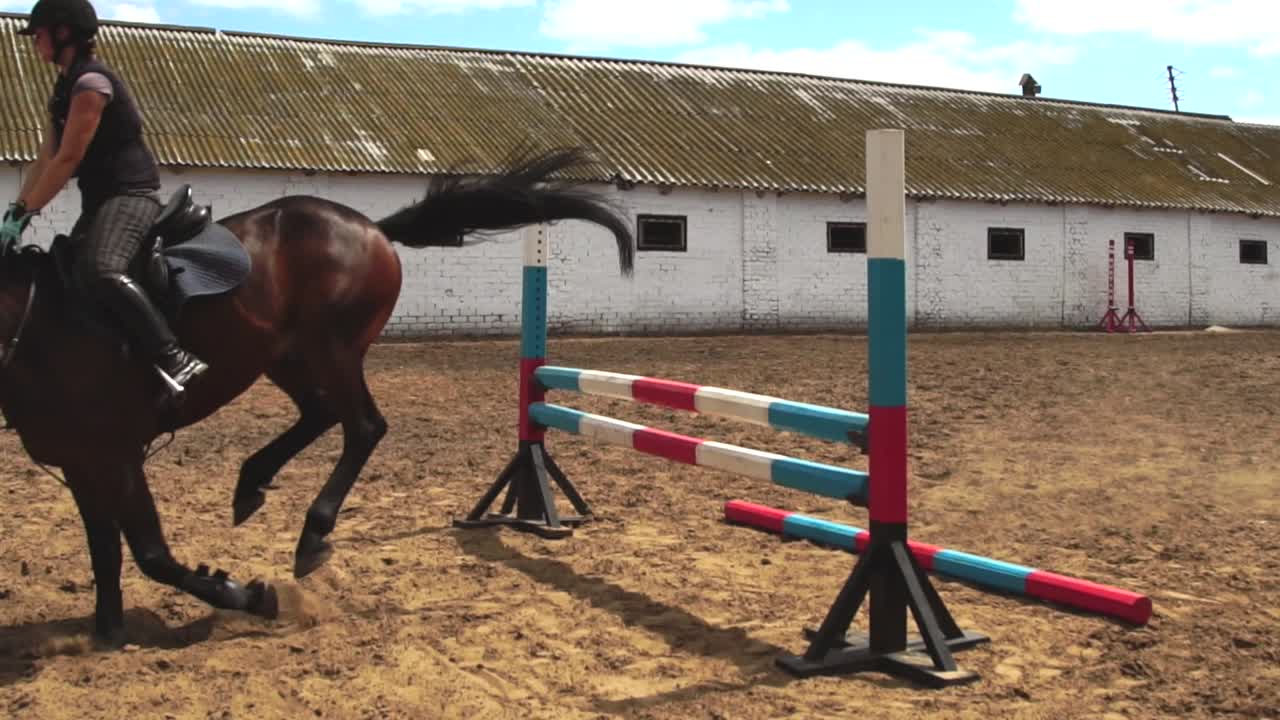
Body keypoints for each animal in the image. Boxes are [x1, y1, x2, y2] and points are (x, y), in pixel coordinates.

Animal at [0, 147, 635, 646]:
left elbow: (151, 554)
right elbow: (104, 550)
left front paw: (248, 596)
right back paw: (251, 484)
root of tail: (372, 228)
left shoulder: (117, 454)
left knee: (362, 425)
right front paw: (107, 632)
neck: (35, 322)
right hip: (284, 357)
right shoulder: (81, 461)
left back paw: (311, 533)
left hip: (332, 348)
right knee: (323, 413)